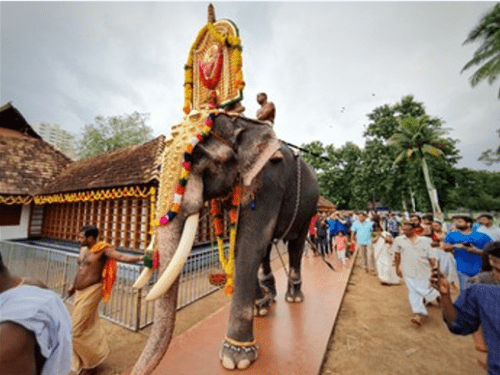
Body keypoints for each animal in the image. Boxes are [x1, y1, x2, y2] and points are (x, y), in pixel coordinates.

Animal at [131, 110, 318, 374]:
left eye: (197, 157)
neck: (239, 123)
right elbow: (242, 244)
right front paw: (260, 306)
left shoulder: (269, 183)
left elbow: (250, 245)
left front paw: (236, 357)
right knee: (268, 248)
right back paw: (269, 297)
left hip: (308, 211)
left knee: (295, 245)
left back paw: (293, 297)